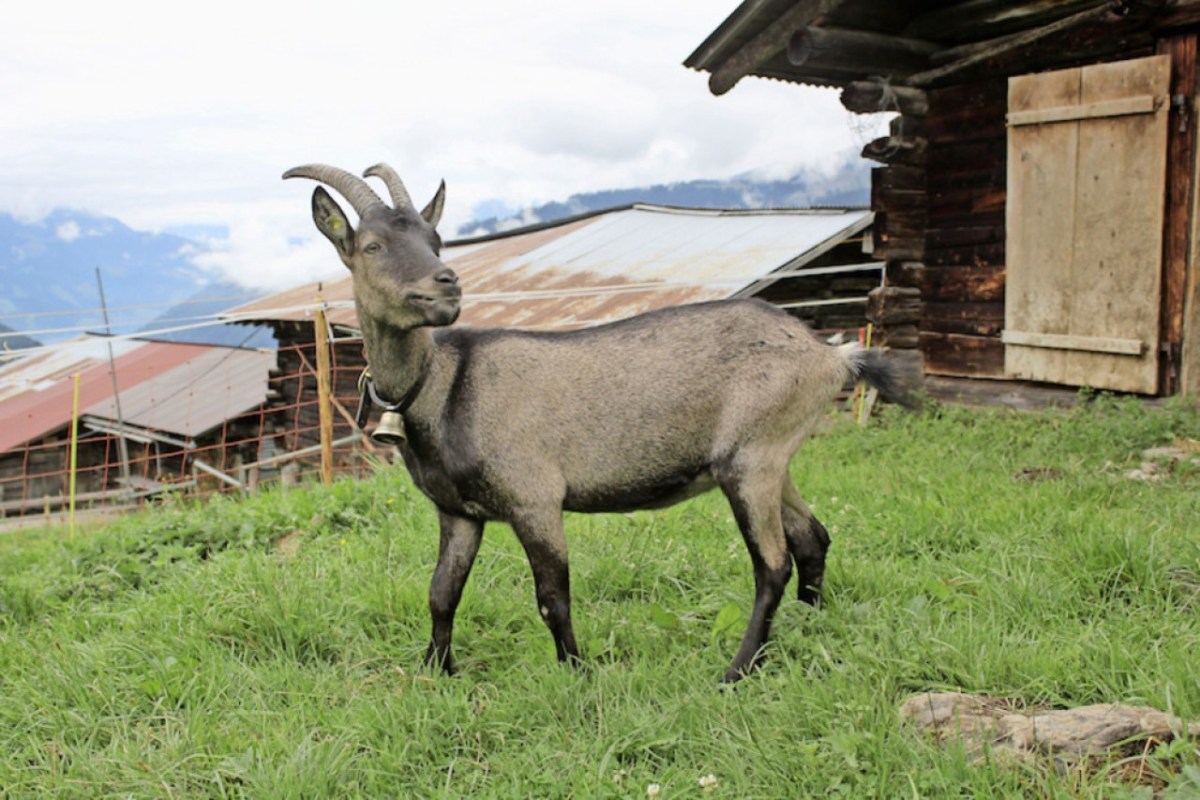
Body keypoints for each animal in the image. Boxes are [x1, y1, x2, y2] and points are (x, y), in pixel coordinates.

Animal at [284, 163, 916, 683]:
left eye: (433, 239)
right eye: (372, 244)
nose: (446, 284)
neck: (442, 387)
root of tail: (830, 355)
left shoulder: (534, 500)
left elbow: (551, 596)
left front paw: (577, 673)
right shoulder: (460, 512)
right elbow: (442, 593)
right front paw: (437, 673)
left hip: (751, 459)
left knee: (772, 564)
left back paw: (737, 669)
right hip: (772, 457)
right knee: (813, 538)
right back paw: (811, 627)